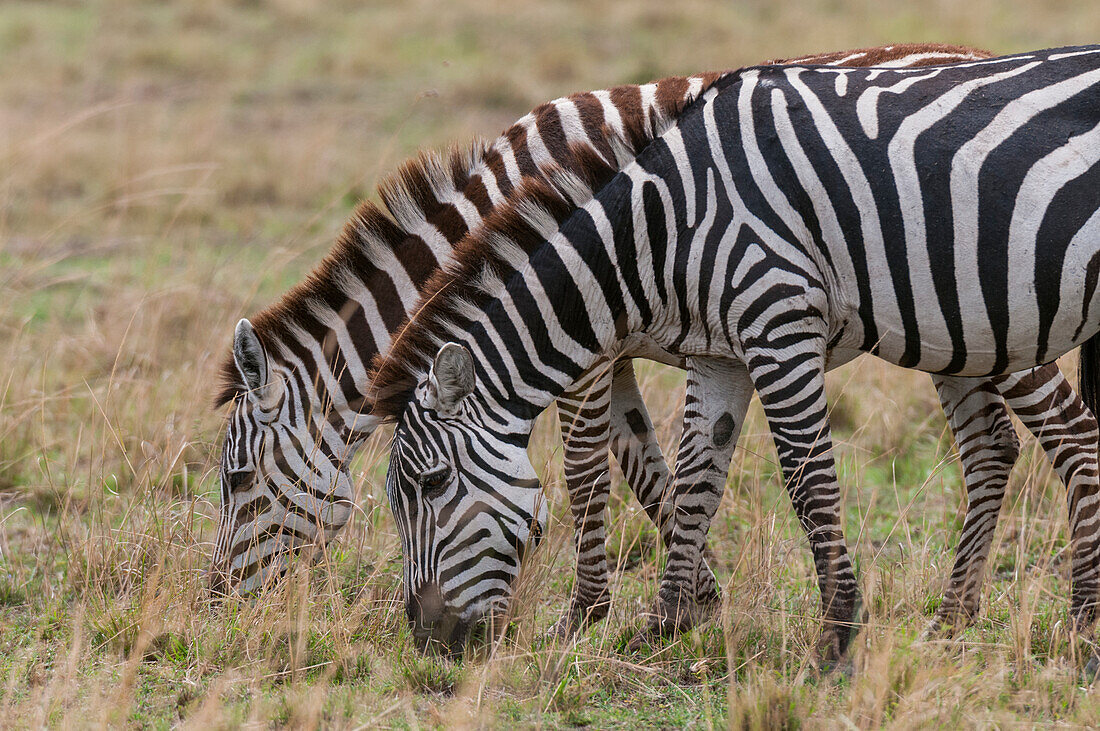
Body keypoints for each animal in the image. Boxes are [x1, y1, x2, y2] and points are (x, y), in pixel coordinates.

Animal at [367, 44, 1100, 659]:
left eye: (431, 484)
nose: (426, 639)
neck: (664, 228)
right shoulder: (721, 353)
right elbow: (693, 478)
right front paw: (664, 626)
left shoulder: (777, 319)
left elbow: (805, 482)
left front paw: (836, 636)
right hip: (961, 331)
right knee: (999, 445)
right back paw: (963, 620)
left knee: (1068, 436)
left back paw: (1081, 626)